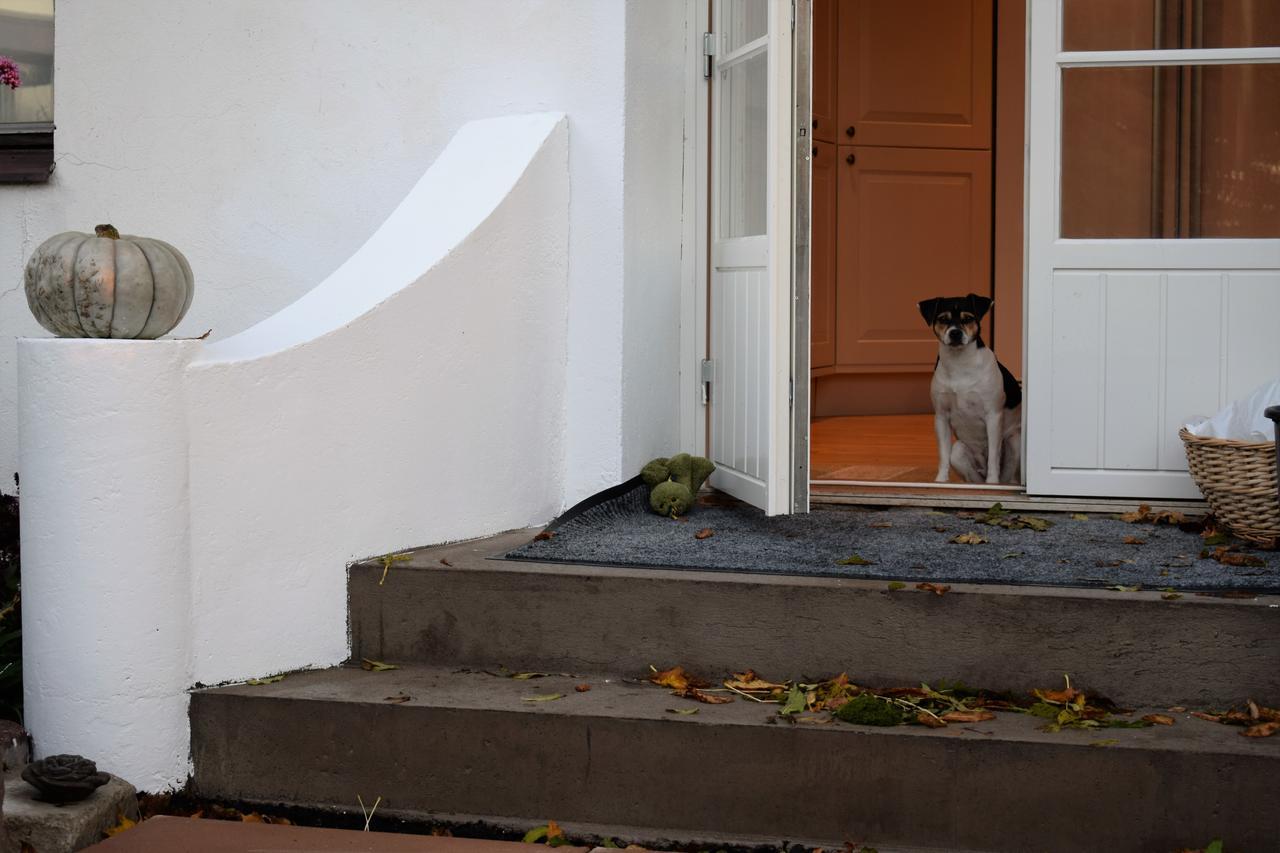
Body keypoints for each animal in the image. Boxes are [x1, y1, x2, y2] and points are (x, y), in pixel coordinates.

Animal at [916, 292, 1024, 481]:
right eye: (943, 319)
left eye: (967, 319)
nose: (955, 333)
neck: (959, 362)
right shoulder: (941, 417)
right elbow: (943, 456)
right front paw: (940, 482)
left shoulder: (993, 415)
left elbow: (994, 457)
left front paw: (992, 483)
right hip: (958, 452)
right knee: (972, 477)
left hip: (1014, 441)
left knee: (1006, 476)